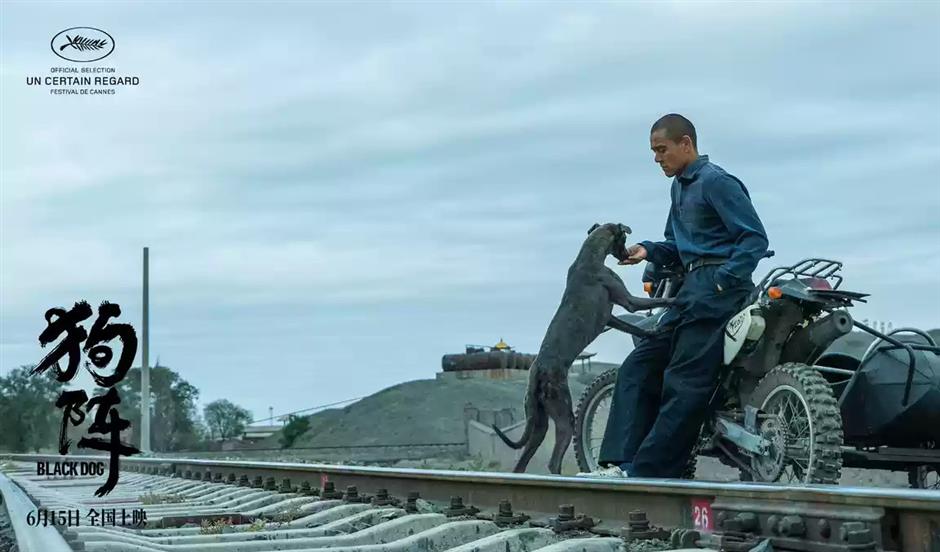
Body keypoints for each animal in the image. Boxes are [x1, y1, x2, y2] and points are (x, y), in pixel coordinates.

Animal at [492, 222, 676, 472]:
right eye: (623, 239)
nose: (627, 255)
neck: (589, 256)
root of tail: (538, 372)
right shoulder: (628, 301)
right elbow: (656, 301)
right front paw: (676, 301)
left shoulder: (610, 318)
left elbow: (634, 328)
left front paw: (652, 332)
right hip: (563, 414)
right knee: (553, 461)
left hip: (538, 421)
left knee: (522, 463)